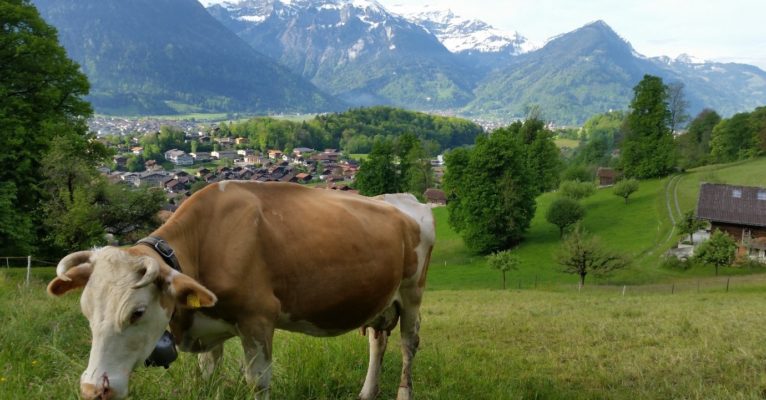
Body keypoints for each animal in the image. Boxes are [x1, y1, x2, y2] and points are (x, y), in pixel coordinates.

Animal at [48, 182, 436, 400]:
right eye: (86, 312)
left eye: (137, 312)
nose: (92, 389)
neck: (203, 242)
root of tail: (403, 199)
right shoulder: (208, 330)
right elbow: (208, 378)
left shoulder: (258, 319)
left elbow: (257, 381)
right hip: (381, 299)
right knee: (377, 341)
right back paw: (367, 392)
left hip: (412, 293)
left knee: (408, 344)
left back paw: (403, 394)